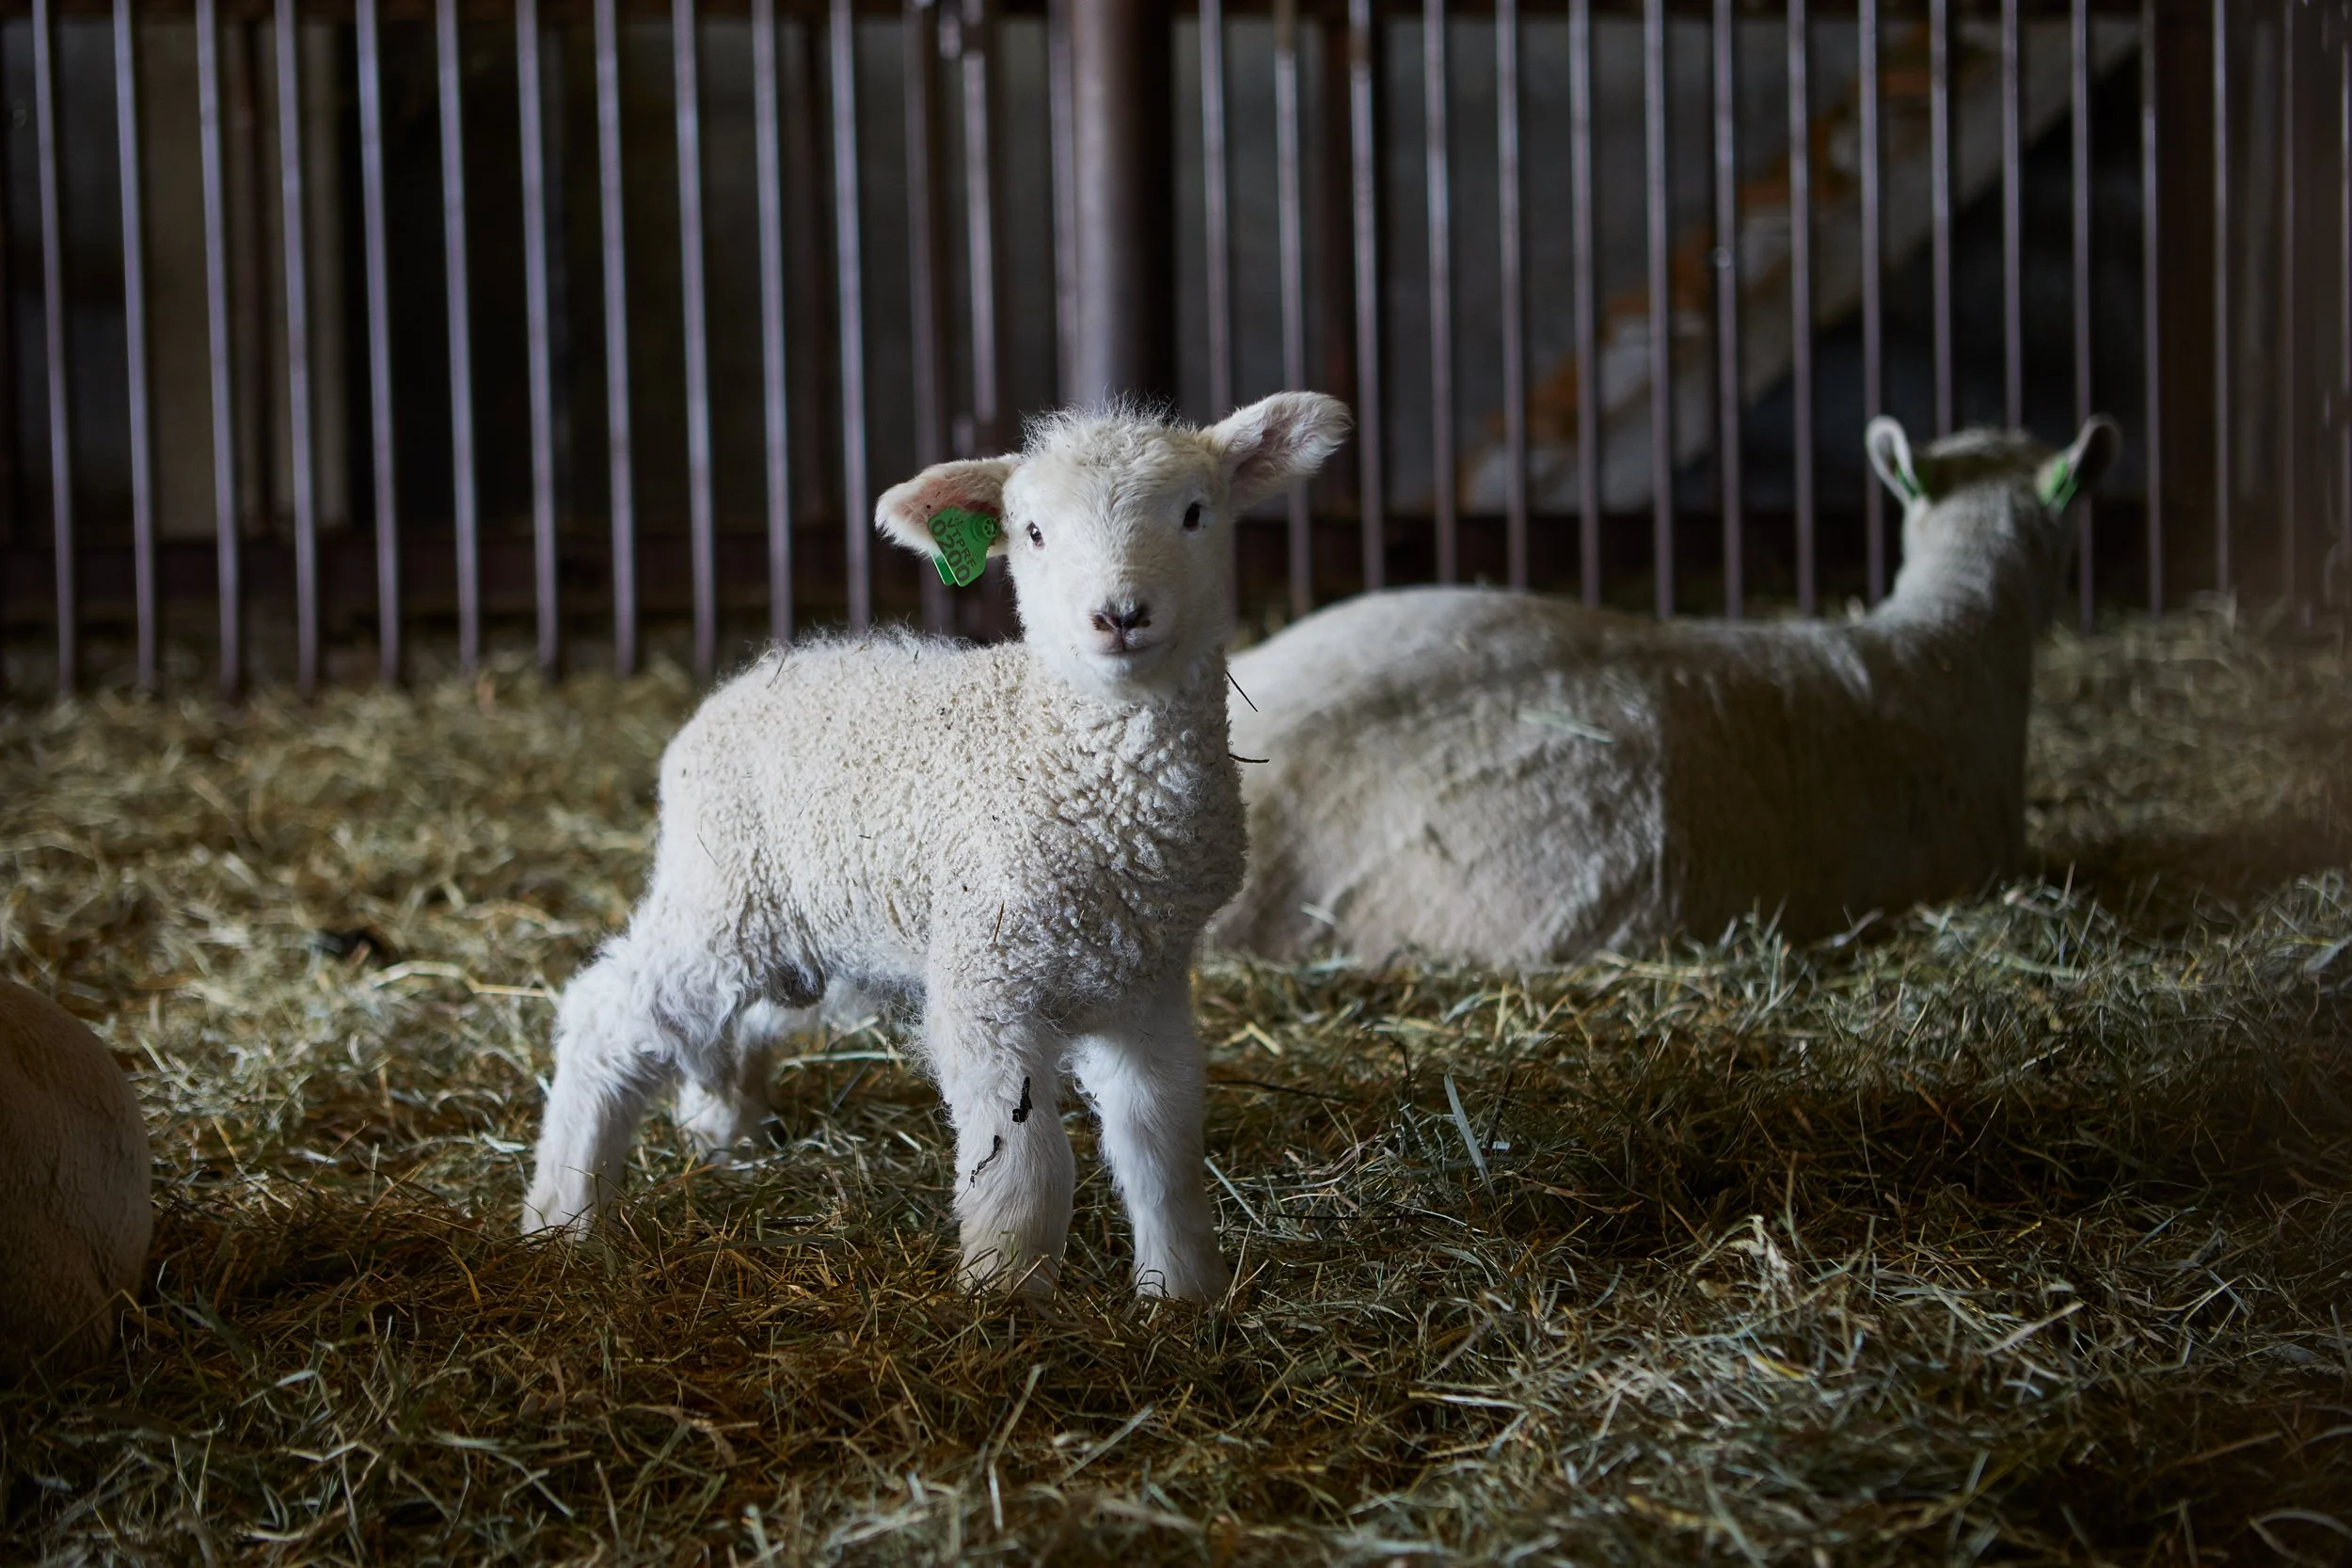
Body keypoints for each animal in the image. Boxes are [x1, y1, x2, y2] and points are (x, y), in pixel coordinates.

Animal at [523, 392, 1354, 1300]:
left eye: (1196, 513)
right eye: (1033, 531)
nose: (1120, 615)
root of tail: (731, 691)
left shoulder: (1147, 987)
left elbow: (1160, 1148)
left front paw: (1181, 1293)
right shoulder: (984, 981)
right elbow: (1027, 1166)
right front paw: (1007, 1295)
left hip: (808, 936)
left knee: (729, 1028)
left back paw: (719, 1127)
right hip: (724, 900)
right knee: (605, 1013)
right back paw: (562, 1215)